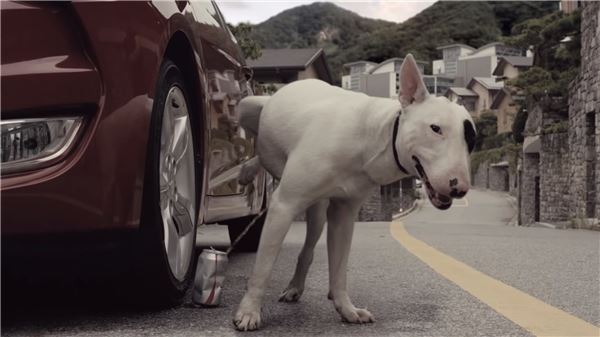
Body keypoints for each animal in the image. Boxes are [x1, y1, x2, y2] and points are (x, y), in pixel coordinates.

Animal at [232, 53, 476, 330]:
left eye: (472, 140)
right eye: (435, 128)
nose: (459, 188)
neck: (369, 137)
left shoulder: (344, 213)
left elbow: (339, 269)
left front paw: (347, 309)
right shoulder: (284, 205)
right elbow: (263, 266)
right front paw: (249, 311)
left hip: (318, 211)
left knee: (309, 247)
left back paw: (296, 287)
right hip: (247, 108)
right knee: (258, 148)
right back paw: (246, 170)